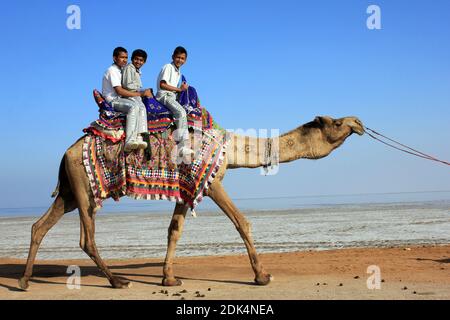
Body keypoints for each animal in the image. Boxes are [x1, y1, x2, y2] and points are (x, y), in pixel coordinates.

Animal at [18, 115, 366, 290]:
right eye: (336, 123)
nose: (359, 122)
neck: (231, 148)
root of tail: (66, 152)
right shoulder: (211, 182)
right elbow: (242, 222)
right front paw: (262, 276)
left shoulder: (187, 187)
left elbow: (174, 230)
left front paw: (169, 278)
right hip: (83, 187)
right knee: (86, 237)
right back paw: (118, 281)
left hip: (69, 190)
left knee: (39, 226)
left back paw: (23, 281)